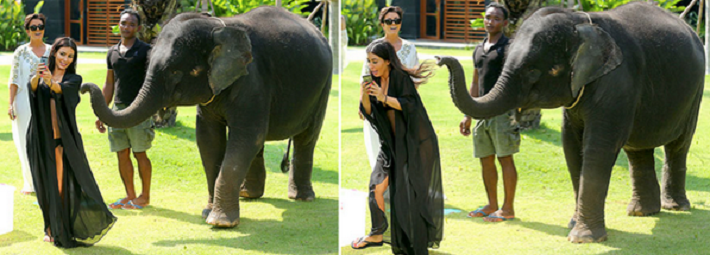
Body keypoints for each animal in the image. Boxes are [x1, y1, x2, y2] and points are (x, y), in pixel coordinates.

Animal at [81, 6, 334, 227]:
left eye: (175, 71)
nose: (83, 87)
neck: (219, 27)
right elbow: (209, 140)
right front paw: (207, 212)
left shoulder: (252, 80)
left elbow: (245, 137)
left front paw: (220, 222)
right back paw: (248, 194)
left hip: (324, 86)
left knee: (306, 137)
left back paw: (301, 197)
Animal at [440, 1, 708, 243]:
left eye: (533, 72)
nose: (442, 59)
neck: (581, 21)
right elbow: (571, 146)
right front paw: (573, 224)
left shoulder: (618, 82)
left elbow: (598, 147)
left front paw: (582, 237)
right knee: (638, 149)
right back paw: (641, 212)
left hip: (695, 92)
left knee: (678, 145)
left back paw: (675, 207)